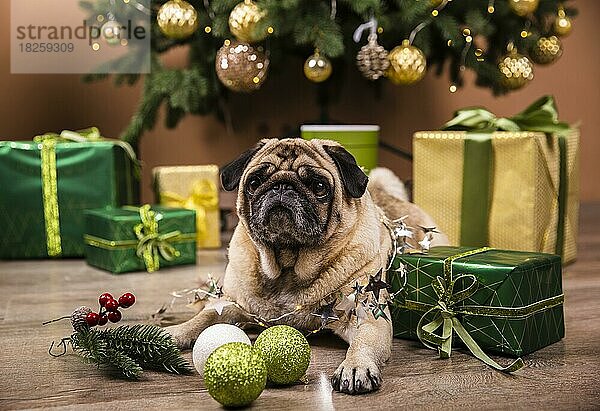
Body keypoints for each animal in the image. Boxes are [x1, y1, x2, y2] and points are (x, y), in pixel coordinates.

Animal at [166, 138, 448, 396]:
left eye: (319, 186)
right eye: (254, 183)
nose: (282, 186)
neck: (287, 265)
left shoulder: (367, 314)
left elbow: (363, 344)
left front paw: (355, 366)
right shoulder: (231, 304)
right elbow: (203, 318)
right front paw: (172, 333)